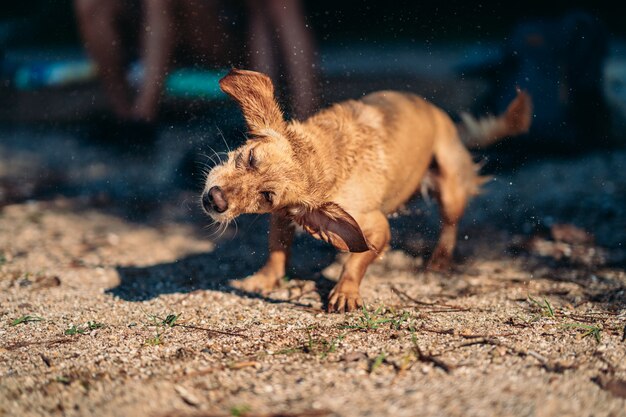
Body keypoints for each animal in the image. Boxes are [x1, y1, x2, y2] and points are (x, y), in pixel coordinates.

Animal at [201, 69, 532, 312]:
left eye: (267, 195)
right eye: (251, 157)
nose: (215, 199)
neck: (329, 159)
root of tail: (442, 116)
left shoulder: (376, 227)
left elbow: (357, 260)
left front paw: (345, 290)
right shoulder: (285, 214)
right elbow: (278, 251)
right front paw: (264, 279)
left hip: (449, 190)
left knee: (449, 226)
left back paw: (439, 260)